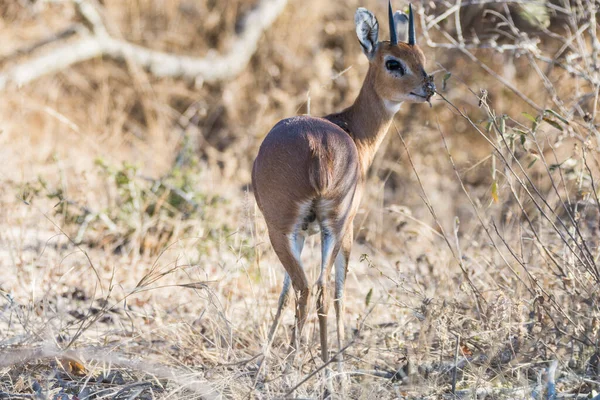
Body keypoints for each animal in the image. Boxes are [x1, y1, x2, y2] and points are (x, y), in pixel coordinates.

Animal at [251, 1, 434, 368]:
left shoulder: (305, 233)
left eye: (420, 55)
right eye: (394, 62)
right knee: (319, 289)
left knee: (306, 287)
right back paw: (321, 367)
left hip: (295, 231)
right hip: (322, 228)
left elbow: (283, 292)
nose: (429, 87)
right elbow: (338, 290)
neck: (353, 131)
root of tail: (317, 147)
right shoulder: (346, 230)